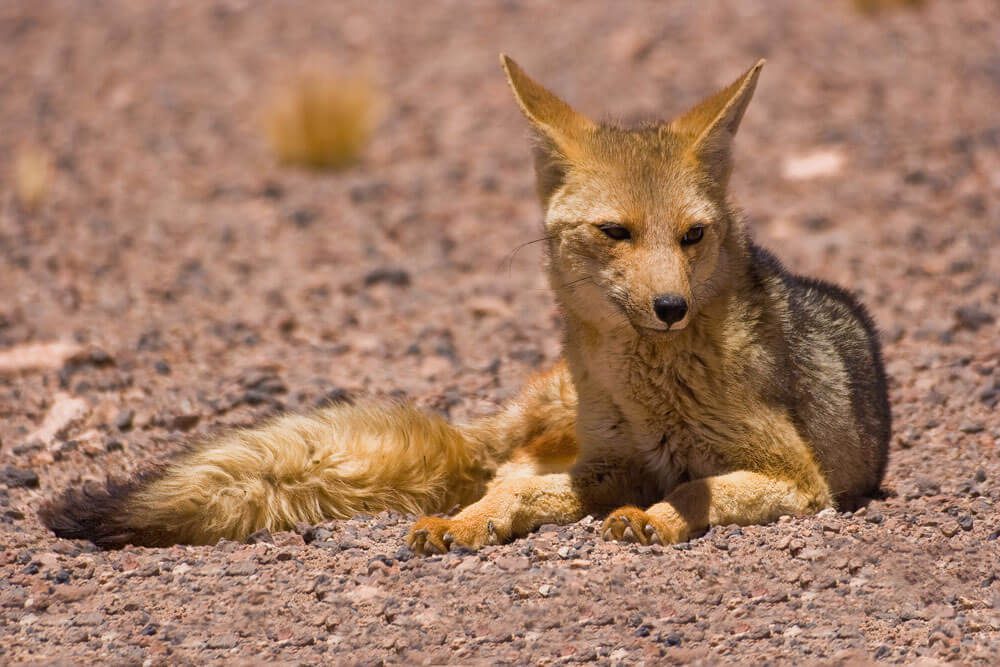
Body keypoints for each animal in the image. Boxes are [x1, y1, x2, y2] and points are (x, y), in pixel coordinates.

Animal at [41, 55, 890, 553]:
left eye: (693, 235)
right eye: (615, 231)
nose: (671, 305)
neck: (651, 390)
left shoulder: (796, 474)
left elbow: (689, 485)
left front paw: (653, 519)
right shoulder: (610, 462)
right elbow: (533, 491)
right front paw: (474, 523)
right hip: (546, 431)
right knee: (501, 471)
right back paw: (460, 512)